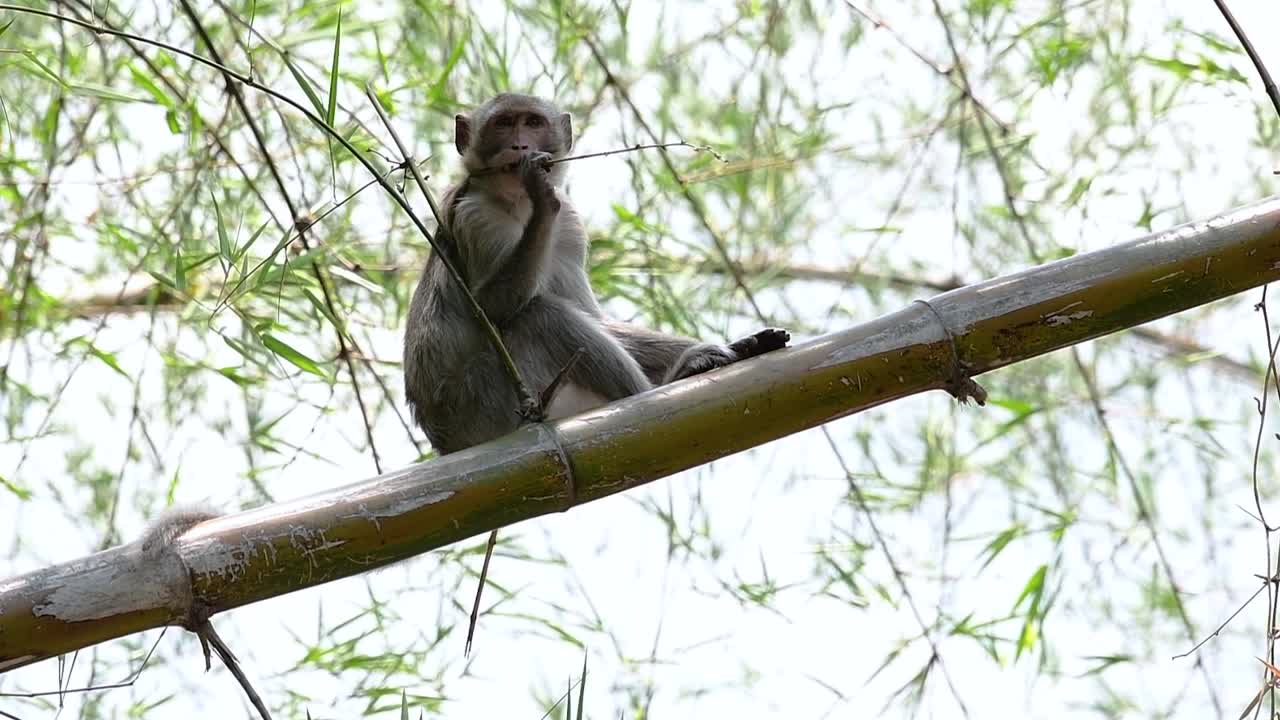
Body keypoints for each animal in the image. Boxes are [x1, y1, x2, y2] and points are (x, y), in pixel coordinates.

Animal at [403, 93, 789, 454]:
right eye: (503, 124)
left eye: (532, 123)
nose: (520, 146)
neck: (515, 204)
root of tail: (448, 443)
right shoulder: (477, 218)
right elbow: (491, 307)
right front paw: (541, 196)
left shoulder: (570, 227)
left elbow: (593, 316)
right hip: (492, 405)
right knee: (538, 314)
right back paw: (665, 383)